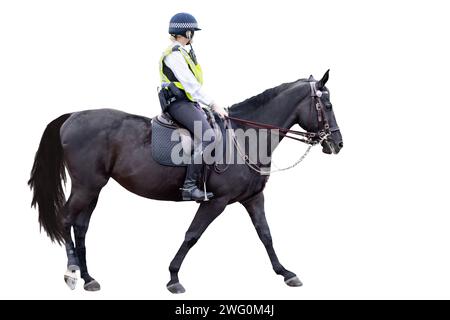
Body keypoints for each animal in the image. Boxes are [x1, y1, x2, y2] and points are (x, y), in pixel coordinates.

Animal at [28, 70, 342, 292]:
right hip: (86, 186)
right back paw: (71, 271)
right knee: (66, 219)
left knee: (81, 227)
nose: (337, 144)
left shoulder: (253, 198)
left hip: (94, 188)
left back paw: (88, 278)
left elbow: (265, 234)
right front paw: (173, 277)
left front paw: (286, 273)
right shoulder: (217, 202)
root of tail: (72, 116)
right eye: (326, 104)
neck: (245, 138)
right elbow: (192, 234)